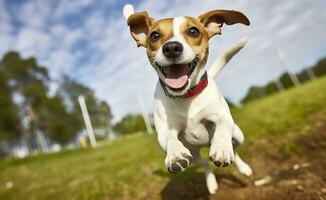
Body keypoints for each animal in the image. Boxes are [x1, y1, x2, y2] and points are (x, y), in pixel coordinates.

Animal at [123, 3, 253, 194]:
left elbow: (222, 127)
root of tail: (204, 146)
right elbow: (170, 139)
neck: (186, 96)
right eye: (155, 35)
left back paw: (242, 167)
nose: (171, 48)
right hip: (194, 155)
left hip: (238, 135)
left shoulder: (222, 117)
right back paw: (211, 183)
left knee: (234, 151)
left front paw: (221, 147)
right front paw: (176, 155)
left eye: (193, 31)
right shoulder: (165, 130)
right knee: (205, 163)